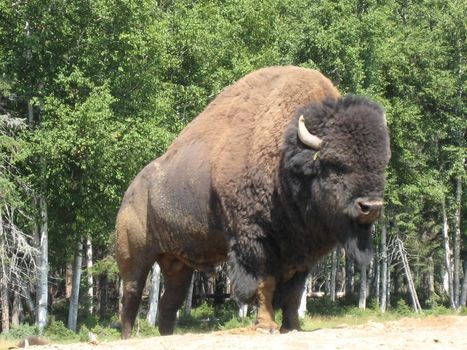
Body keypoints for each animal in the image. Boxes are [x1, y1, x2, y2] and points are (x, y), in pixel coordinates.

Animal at [117, 66, 392, 340]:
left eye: (381, 164)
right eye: (335, 165)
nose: (371, 207)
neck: (285, 158)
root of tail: (131, 191)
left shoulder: (301, 252)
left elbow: (294, 292)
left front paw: (292, 326)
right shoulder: (253, 240)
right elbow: (263, 283)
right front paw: (266, 326)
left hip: (178, 264)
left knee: (169, 302)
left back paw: (167, 336)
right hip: (135, 256)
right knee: (131, 296)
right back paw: (128, 337)